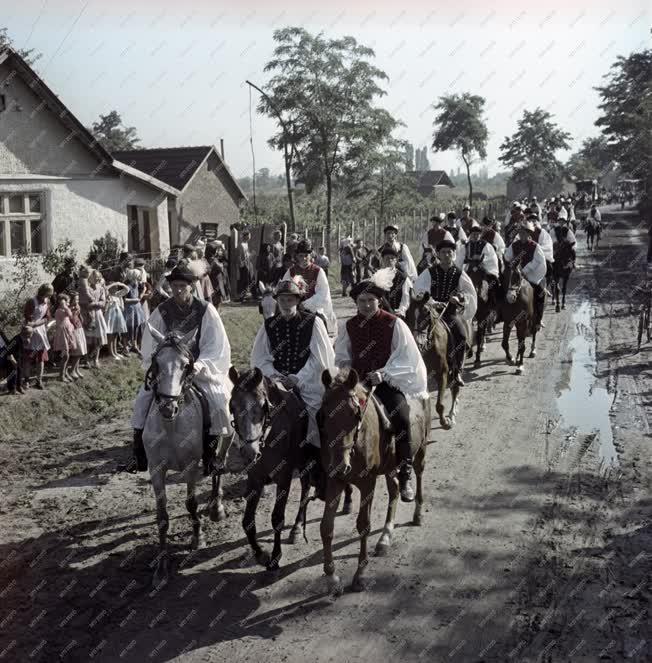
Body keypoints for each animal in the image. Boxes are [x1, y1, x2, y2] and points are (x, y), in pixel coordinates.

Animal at [143, 326, 227, 588]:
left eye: (186, 365)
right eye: (156, 362)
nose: (167, 407)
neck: (171, 426)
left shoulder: (191, 466)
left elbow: (191, 504)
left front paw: (197, 538)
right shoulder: (156, 469)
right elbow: (162, 516)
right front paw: (161, 568)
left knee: (219, 468)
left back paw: (217, 507)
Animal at [228, 368, 312, 572]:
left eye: (262, 406)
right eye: (232, 406)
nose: (249, 452)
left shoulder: (284, 478)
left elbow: (277, 518)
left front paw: (275, 557)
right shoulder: (254, 479)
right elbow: (247, 521)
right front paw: (260, 554)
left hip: (304, 462)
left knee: (306, 489)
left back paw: (298, 527)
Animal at [318, 368, 430, 596]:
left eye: (354, 414)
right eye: (324, 414)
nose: (340, 465)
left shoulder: (367, 482)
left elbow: (363, 525)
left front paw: (359, 575)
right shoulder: (335, 480)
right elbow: (326, 527)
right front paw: (332, 579)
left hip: (421, 448)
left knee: (419, 475)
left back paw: (417, 513)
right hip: (389, 467)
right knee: (394, 489)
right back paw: (385, 537)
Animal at [404, 294, 456, 428]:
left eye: (427, 312)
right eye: (408, 313)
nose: (418, 343)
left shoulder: (442, 373)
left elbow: (439, 404)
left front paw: (445, 422)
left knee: (455, 388)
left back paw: (452, 414)